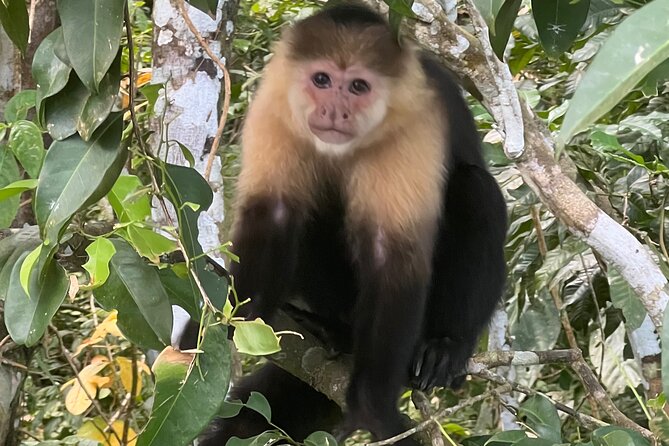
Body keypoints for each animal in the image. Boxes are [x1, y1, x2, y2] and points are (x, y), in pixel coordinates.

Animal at [196, 3, 507, 445]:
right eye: (322, 80)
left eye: (359, 86)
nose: (334, 111)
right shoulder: (275, 102)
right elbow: (274, 213)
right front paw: (236, 316)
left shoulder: (413, 126)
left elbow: (391, 252)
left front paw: (371, 404)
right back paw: (335, 331)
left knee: (475, 191)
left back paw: (445, 346)